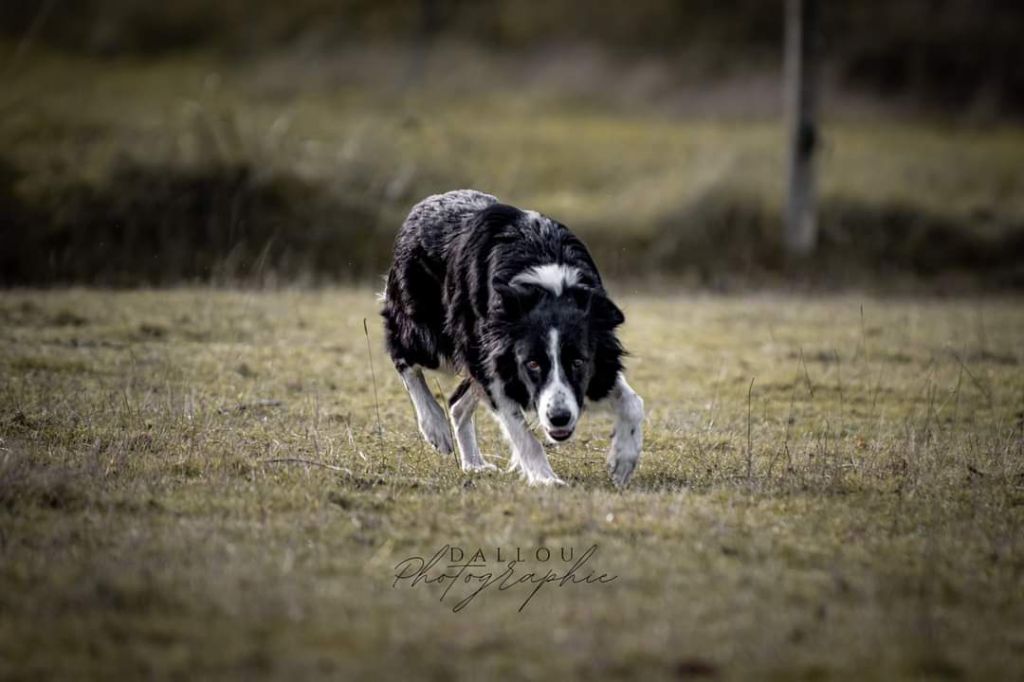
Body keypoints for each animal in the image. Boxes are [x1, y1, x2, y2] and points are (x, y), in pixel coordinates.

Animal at [380, 188, 643, 485]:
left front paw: (623, 460)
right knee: (402, 355)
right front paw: (545, 479)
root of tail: (423, 204)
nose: (559, 418)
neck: (551, 287)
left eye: (578, 362)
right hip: (431, 337)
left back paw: (474, 464)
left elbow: (633, 402)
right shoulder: (495, 359)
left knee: (458, 403)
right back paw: (435, 426)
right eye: (533, 364)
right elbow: (522, 433)